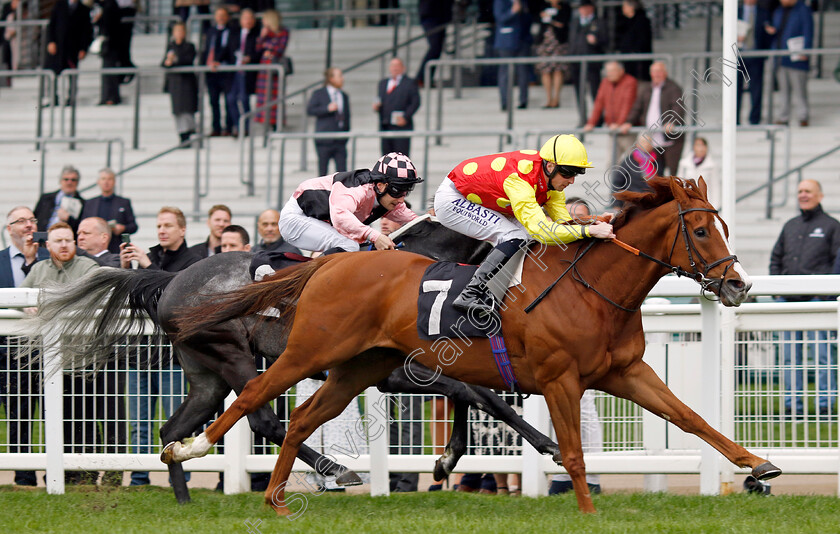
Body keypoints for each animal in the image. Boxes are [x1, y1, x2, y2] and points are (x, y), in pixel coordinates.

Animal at [162, 178, 780, 516]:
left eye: (722, 226)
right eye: (700, 231)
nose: (738, 284)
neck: (589, 288)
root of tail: (331, 265)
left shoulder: (624, 372)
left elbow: (691, 417)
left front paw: (758, 465)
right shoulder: (557, 379)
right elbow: (568, 447)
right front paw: (584, 507)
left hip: (356, 367)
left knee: (301, 417)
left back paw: (276, 493)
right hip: (302, 352)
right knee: (257, 402)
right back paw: (189, 452)